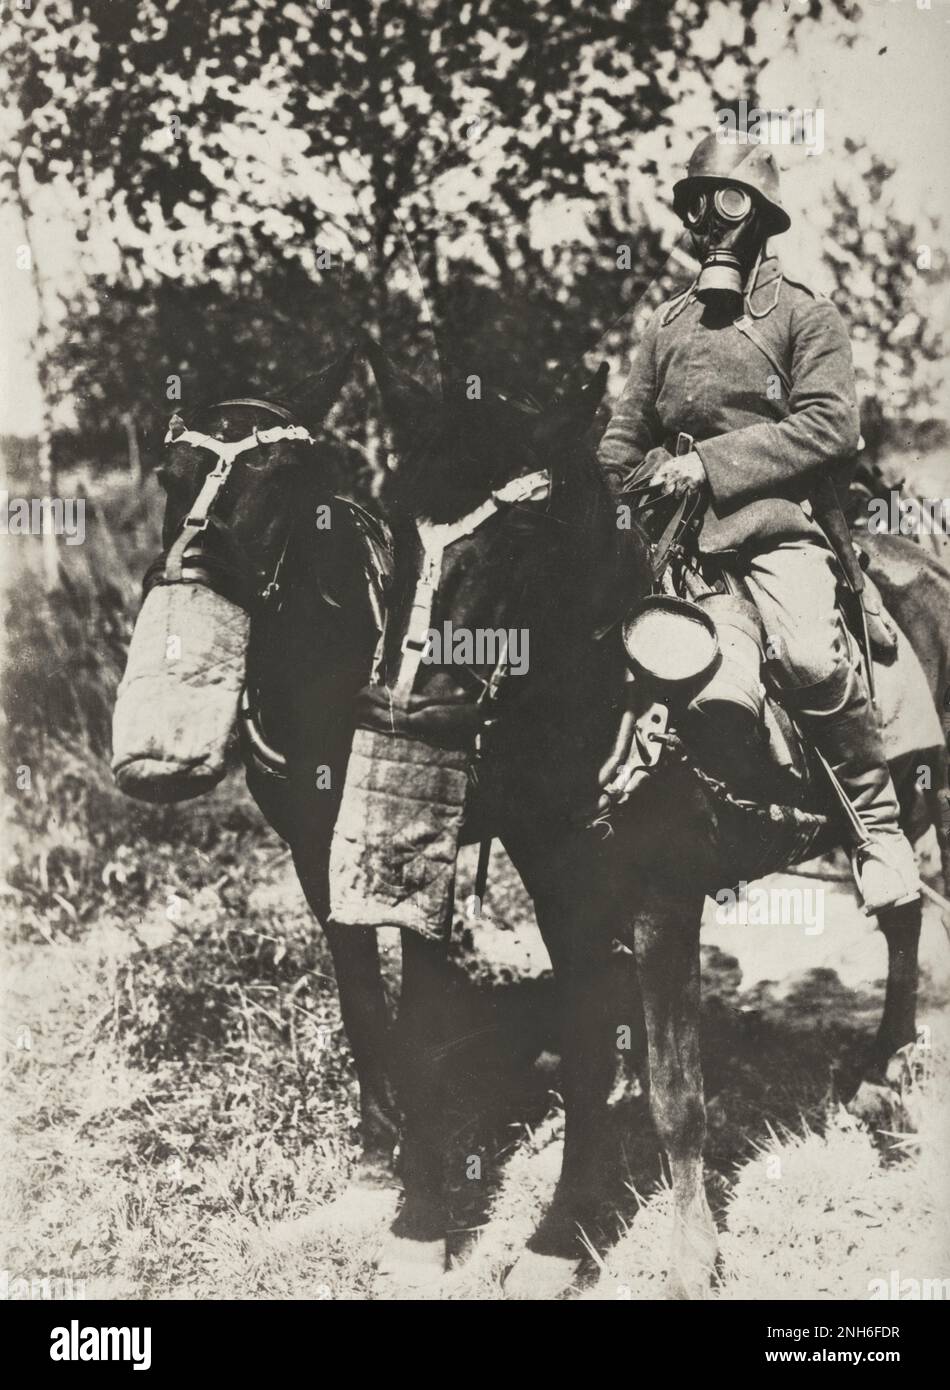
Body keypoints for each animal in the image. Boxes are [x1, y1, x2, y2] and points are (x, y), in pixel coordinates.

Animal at [333, 341, 950, 1295]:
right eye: (399, 524)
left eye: (522, 534)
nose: (409, 706)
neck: (604, 702)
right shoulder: (562, 897)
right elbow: (589, 1062)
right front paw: (561, 1238)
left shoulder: (665, 899)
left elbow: (674, 1092)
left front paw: (691, 1255)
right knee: (905, 913)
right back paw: (880, 1069)